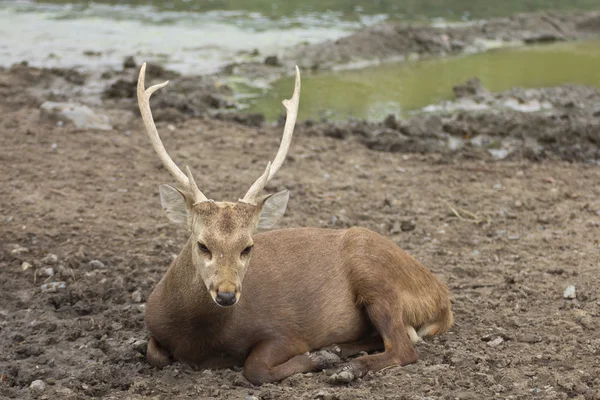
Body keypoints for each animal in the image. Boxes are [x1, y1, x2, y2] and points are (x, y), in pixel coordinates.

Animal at [137, 61, 454, 384]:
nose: (226, 294)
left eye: (248, 247)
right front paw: (326, 354)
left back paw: (346, 367)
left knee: (404, 347)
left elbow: (256, 368)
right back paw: (338, 350)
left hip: (374, 272)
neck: (198, 340)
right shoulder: (153, 327)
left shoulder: (285, 331)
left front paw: (320, 358)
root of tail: (442, 297)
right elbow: (154, 354)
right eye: (202, 244)